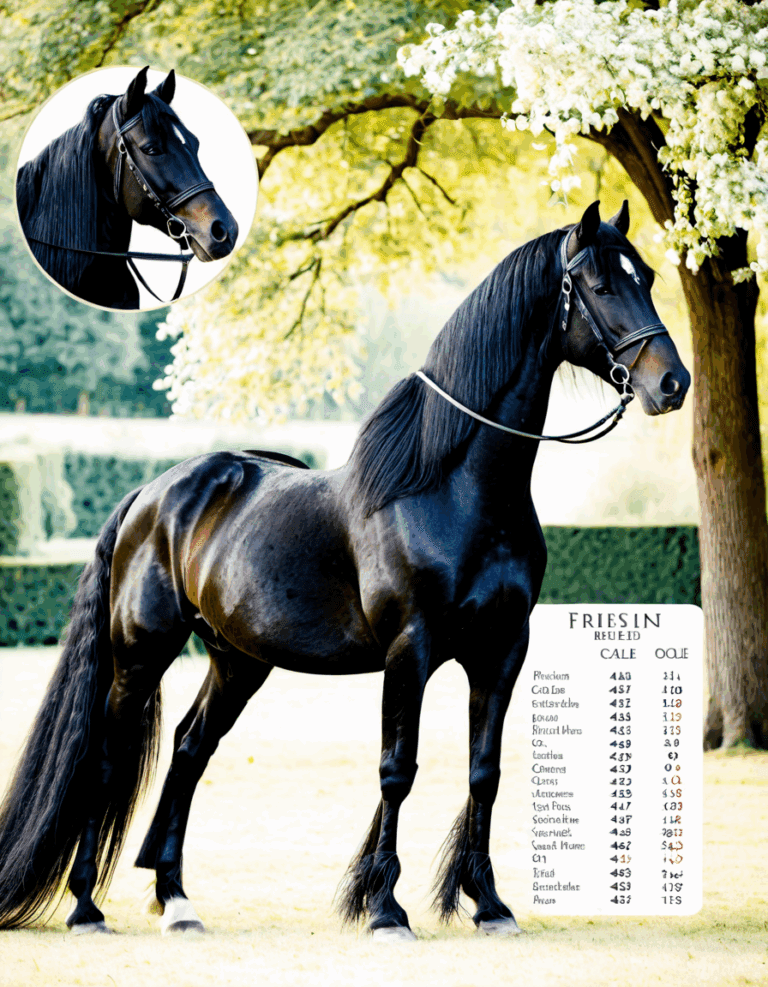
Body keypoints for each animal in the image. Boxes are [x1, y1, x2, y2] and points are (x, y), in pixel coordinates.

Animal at [0, 201, 690, 940]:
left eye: (647, 277)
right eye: (599, 284)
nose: (671, 383)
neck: (454, 489)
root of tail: (150, 495)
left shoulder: (503, 650)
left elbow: (485, 771)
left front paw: (488, 903)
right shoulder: (409, 650)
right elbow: (397, 770)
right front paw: (385, 906)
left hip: (238, 661)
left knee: (188, 750)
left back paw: (177, 899)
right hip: (140, 654)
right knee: (106, 759)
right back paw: (85, 905)